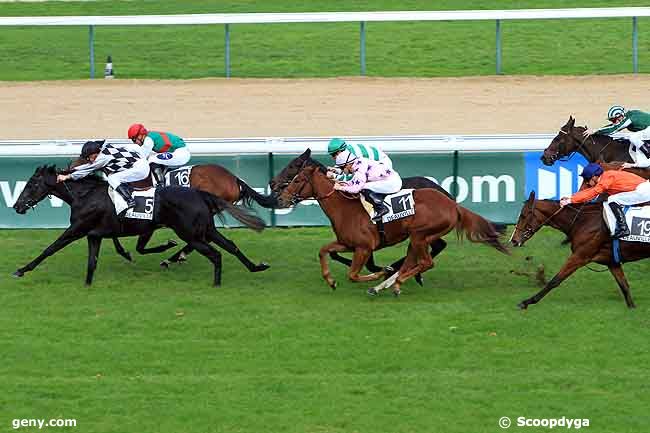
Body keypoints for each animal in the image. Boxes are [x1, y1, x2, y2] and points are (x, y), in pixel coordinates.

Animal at [11, 167, 264, 286]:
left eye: (32, 184)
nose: (17, 206)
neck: (85, 196)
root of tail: (200, 193)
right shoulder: (94, 235)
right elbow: (92, 263)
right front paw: (87, 286)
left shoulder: (77, 230)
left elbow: (50, 249)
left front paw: (21, 270)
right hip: (206, 229)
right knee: (230, 246)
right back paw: (256, 267)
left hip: (191, 234)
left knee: (215, 254)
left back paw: (215, 282)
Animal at [274, 158, 506, 294]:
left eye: (296, 178)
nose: (280, 197)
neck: (344, 208)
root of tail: (452, 204)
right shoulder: (348, 243)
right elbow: (324, 251)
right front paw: (330, 280)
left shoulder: (364, 247)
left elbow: (353, 274)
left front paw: (378, 272)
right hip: (417, 237)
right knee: (415, 260)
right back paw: (388, 283)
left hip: (420, 235)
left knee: (426, 261)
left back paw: (392, 280)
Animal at [508, 191, 644, 308]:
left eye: (523, 215)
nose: (513, 240)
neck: (583, 221)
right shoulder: (611, 261)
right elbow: (624, 285)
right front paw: (632, 308)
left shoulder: (580, 256)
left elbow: (555, 280)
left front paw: (527, 302)